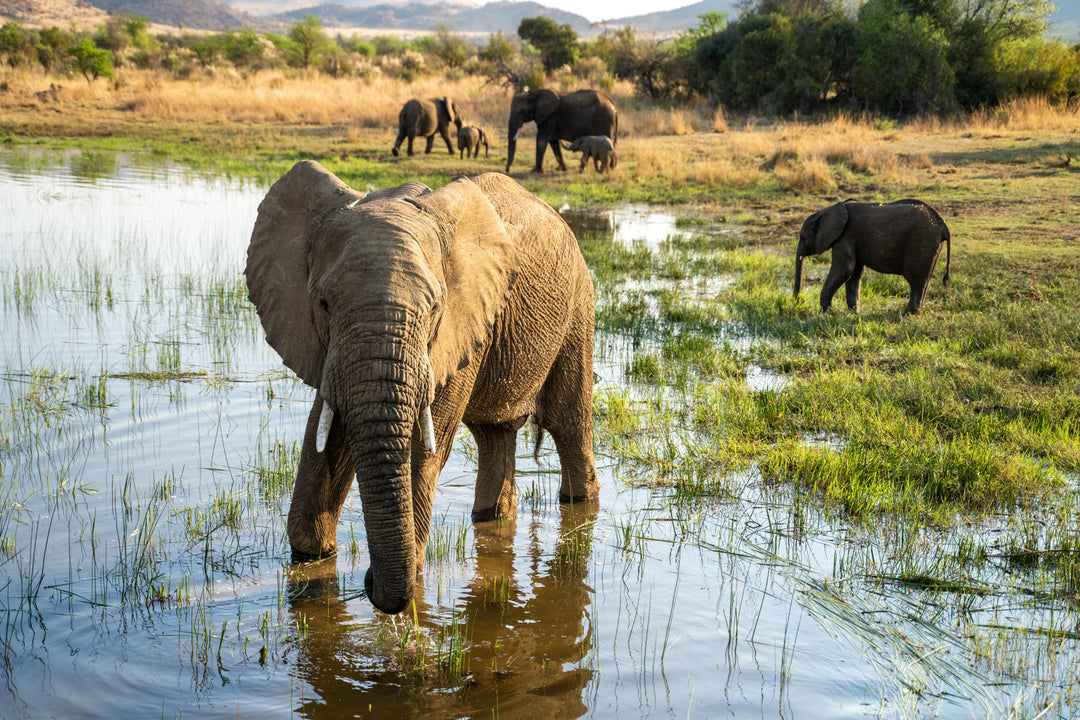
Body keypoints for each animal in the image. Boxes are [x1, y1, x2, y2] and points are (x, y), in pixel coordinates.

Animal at [246, 160, 599, 615]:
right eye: (322, 304)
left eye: (434, 307)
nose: (368, 581)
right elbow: (327, 435)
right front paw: (312, 564)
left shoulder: (463, 321)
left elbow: (423, 446)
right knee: (495, 433)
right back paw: (493, 519)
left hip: (578, 305)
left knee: (567, 422)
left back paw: (578, 507)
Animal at [794, 199, 951, 314]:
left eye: (802, 237)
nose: (800, 302)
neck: (829, 209)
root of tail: (943, 226)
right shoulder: (853, 239)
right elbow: (853, 274)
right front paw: (853, 314)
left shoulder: (844, 237)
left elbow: (845, 270)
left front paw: (826, 314)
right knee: (924, 281)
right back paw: (914, 313)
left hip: (922, 242)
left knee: (916, 281)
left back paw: (907, 314)